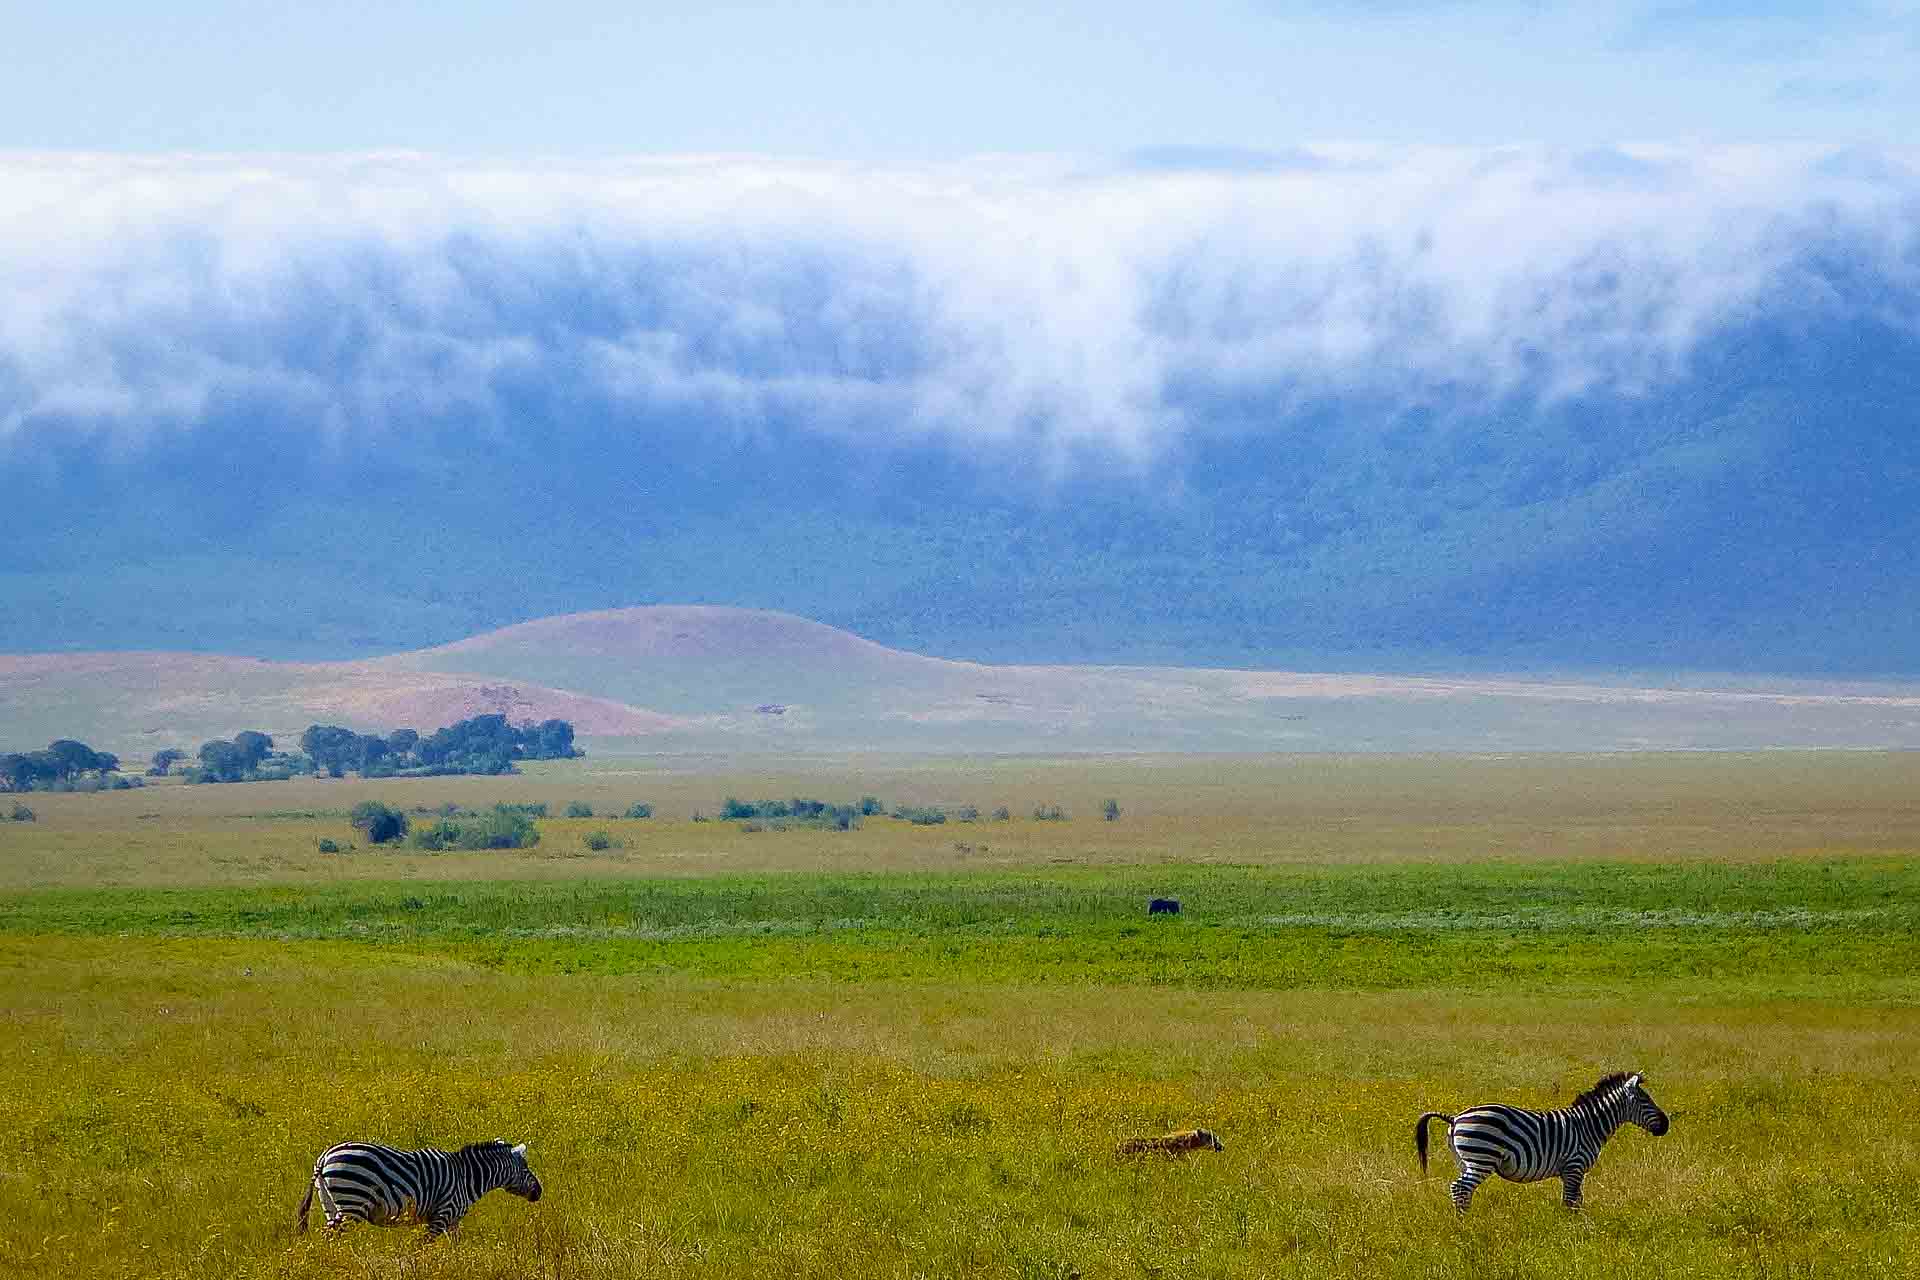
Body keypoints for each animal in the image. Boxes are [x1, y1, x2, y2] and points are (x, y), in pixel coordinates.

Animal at [295, 1143, 545, 1243]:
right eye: (525, 1168)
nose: (539, 1192)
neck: (466, 1178)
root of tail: (324, 1157)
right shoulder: (443, 1214)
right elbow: (422, 1246)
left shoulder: (453, 1220)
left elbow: (456, 1246)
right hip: (352, 1201)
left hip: (331, 1204)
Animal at [1413, 1074, 1666, 1212]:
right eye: (1645, 1100)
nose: (1666, 1125)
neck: (1589, 1125)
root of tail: (1455, 1118)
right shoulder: (1574, 1167)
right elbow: (1571, 1201)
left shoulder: (1572, 1171)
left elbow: (1577, 1200)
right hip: (1481, 1158)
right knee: (1460, 1188)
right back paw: (1463, 1223)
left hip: (1465, 1161)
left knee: (1462, 1190)